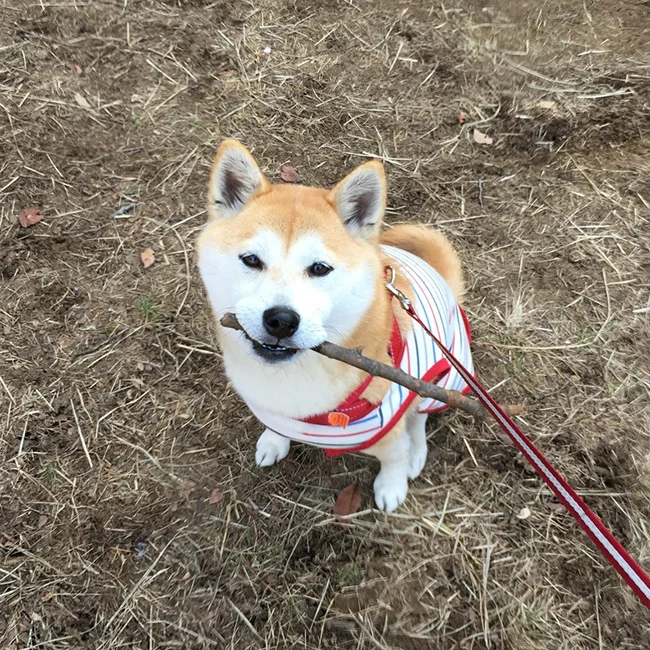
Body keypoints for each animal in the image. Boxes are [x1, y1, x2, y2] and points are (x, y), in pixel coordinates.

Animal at [197, 139, 470, 508]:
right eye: (251, 260)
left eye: (319, 268)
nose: (281, 320)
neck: (292, 379)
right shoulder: (272, 410)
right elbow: (277, 428)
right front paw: (274, 442)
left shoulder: (389, 430)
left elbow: (394, 456)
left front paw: (392, 485)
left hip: (438, 380)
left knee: (419, 416)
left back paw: (416, 451)